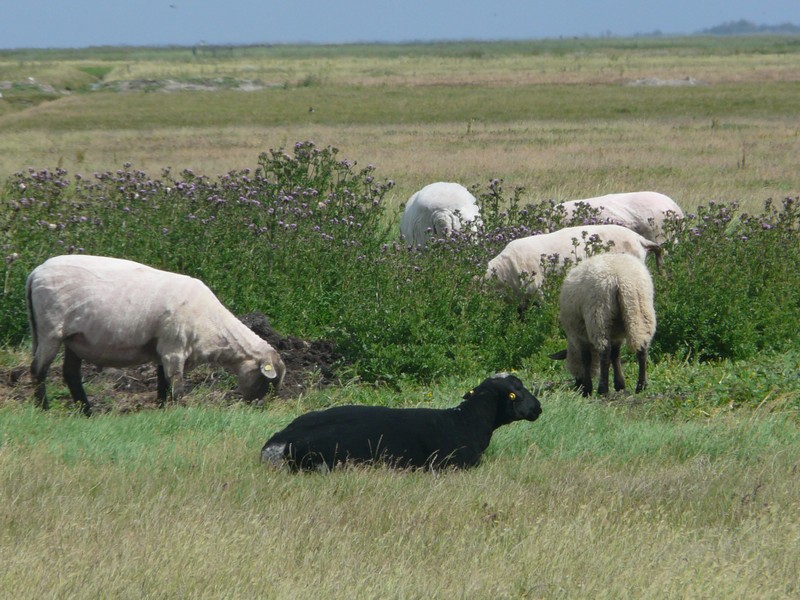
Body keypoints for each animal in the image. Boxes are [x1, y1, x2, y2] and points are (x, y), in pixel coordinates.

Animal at [26, 254, 286, 418]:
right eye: (267, 382)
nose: (258, 408)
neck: (214, 327)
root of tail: (35, 273)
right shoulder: (174, 348)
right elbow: (176, 386)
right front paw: (179, 411)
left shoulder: (164, 349)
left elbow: (163, 383)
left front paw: (161, 410)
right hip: (50, 329)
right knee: (38, 370)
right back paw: (43, 410)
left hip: (74, 338)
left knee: (70, 374)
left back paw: (87, 412)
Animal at [552, 252, 656, 396]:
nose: (577, 386)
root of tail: (620, 278)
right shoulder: (617, 334)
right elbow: (616, 355)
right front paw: (620, 384)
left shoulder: (579, 335)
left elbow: (586, 358)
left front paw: (587, 389)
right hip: (641, 312)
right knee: (642, 348)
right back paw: (641, 386)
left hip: (599, 315)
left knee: (604, 351)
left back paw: (603, 389)